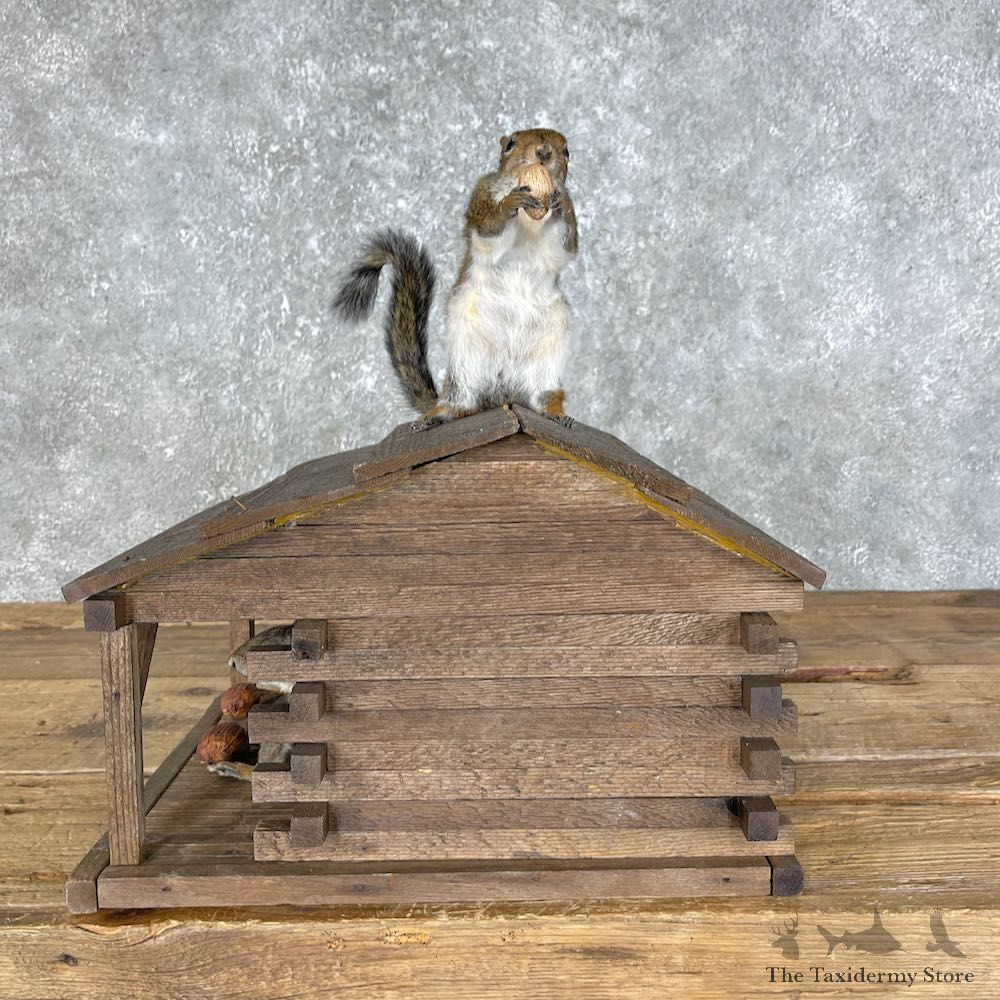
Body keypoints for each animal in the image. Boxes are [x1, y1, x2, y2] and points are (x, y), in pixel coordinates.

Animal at [333, 127, 578, 427]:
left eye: (567, 151)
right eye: (510, 144)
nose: (544, 153)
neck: (530, 221)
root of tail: (502, 394)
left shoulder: (560, 244)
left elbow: (566, 246)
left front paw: (560, 202)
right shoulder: (481, 197)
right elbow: (489, 227)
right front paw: (510, 202)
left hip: (548, 352)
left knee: (544, 394)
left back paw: (555, 413)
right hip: (466, 356)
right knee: (461, 399)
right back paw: (438, 415)